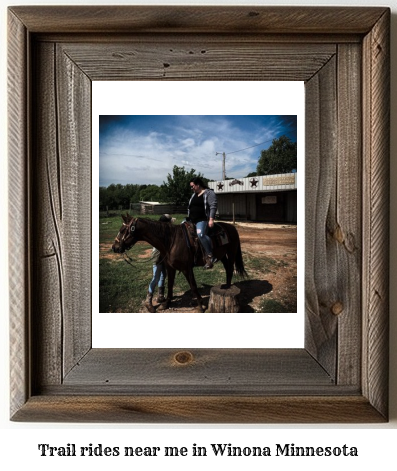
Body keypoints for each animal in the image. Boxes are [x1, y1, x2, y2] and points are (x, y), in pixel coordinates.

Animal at [111, 215, 246, 312]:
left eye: (122, 230)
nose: (114, 247)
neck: (171, 241)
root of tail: (232, 228)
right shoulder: (170, 268)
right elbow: (170, 285)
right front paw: (166, 303)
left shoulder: (187, 269)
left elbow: (193, 286)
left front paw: (201, 306)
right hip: (222, 256)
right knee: (227, 268)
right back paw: (226, 285)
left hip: (231, 253)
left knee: (230, 269)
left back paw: (227, 286)